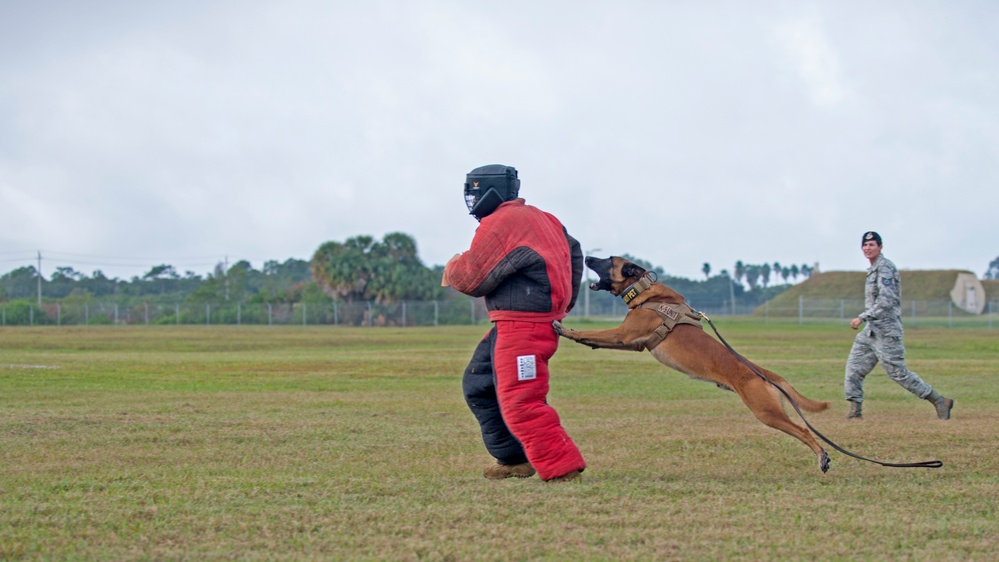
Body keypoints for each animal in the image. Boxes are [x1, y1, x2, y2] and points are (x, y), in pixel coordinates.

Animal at [556, 256, 836, 470]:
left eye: (607, 260)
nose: (587, 257)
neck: (647, 292)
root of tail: (762, 372)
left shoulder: (623, 334)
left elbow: (590, 333)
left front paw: (565, 329)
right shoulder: (630, 342)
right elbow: (595, 339)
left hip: (766, 412)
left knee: (804, 431)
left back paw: (822, 456)